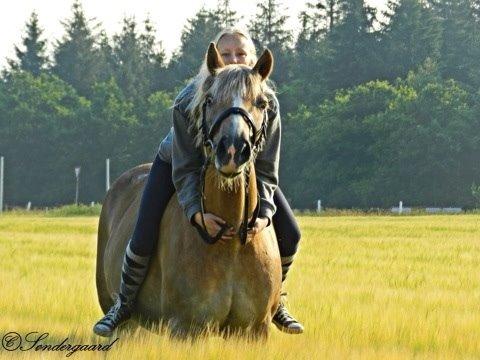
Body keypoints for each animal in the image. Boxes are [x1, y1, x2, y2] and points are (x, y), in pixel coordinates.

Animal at [94, 43, 282, 338]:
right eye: (209, 99)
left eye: (262, 103)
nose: (232, 150)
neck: (231, 244)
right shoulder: (187, 327)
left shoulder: (253, 330)